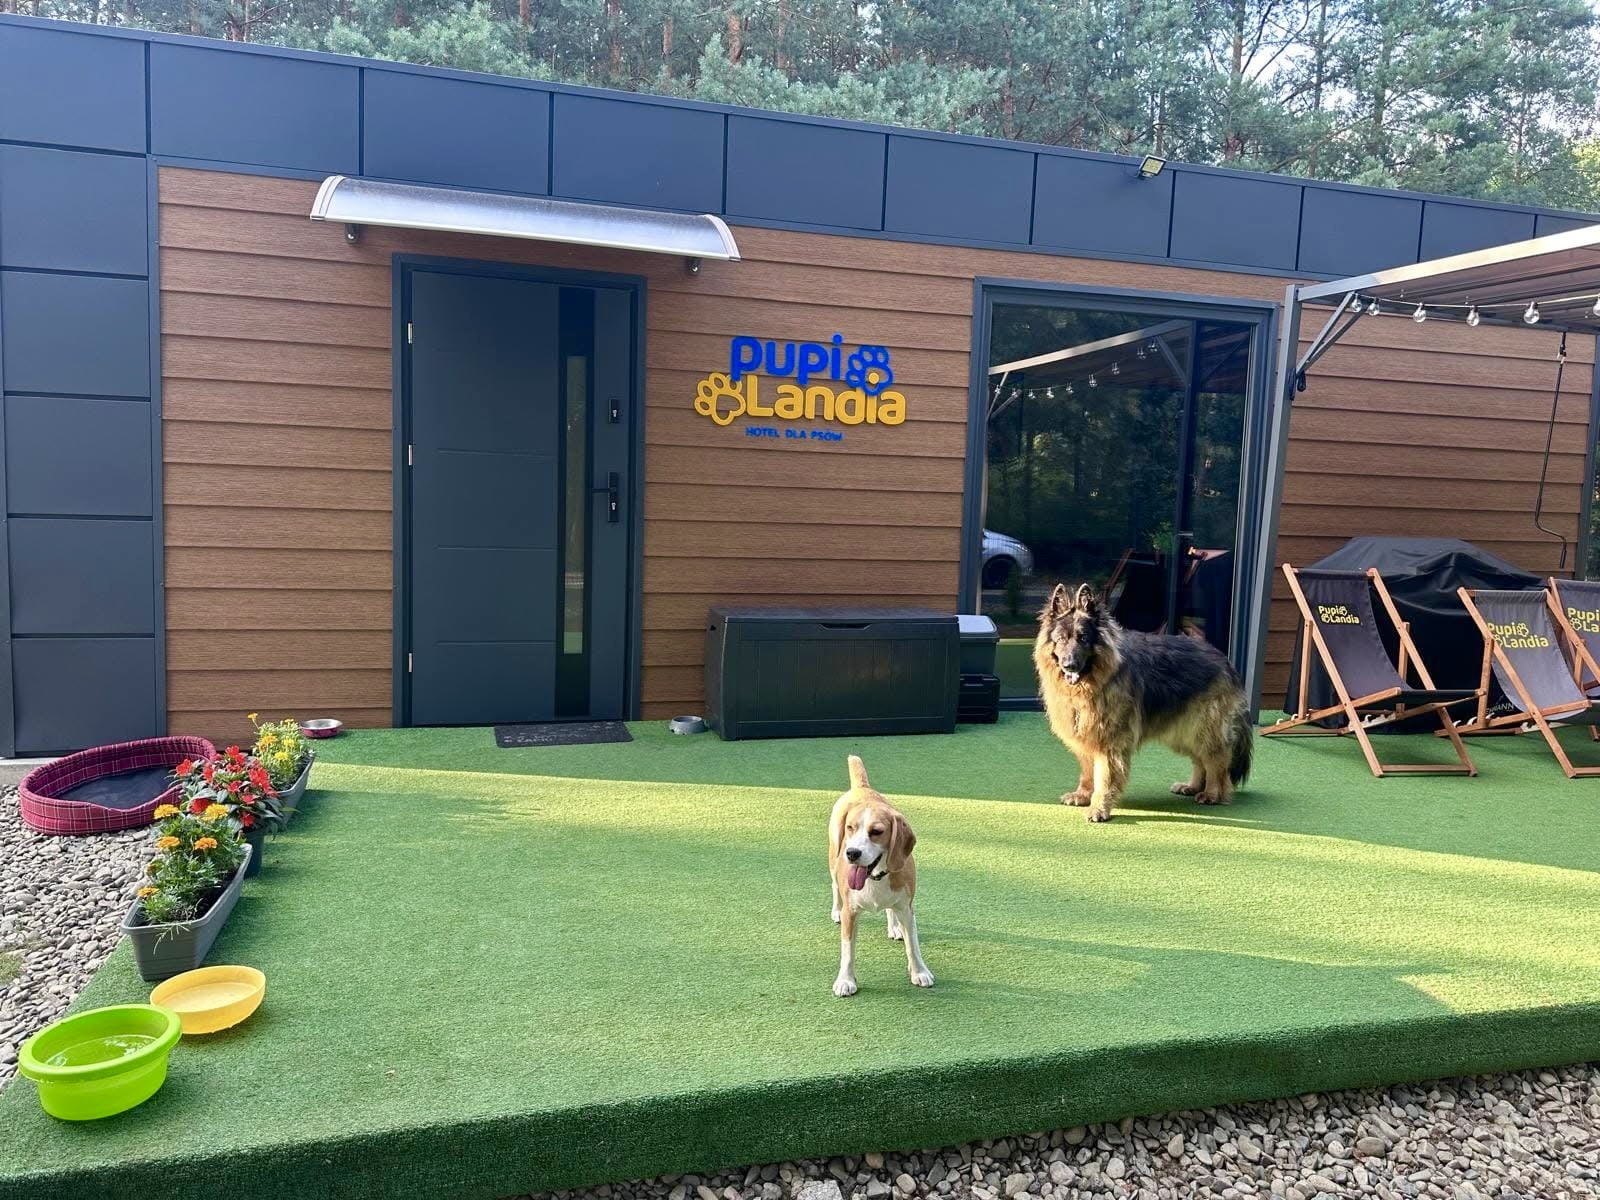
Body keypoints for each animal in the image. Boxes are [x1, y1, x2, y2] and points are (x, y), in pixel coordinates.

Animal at [827, 755, 932, 997]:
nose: (852, 853)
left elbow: (913, 945)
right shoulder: (851, 912)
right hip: (833, 860)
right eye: (850, 828)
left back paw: (894, 926)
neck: (875, 877)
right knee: (834, 887)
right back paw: (835, 910)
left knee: (890, 909)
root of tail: (862, 788)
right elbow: (847, 951)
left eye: (876, 832)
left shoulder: (907, 909)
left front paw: (919, 971)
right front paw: (845, 980)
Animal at [1034, 582, 1252, 822]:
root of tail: (1225, 660)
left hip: (1202, 727)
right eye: (1062, 639)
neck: (1095, 682)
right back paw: (1193, 786)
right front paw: (1083, 795)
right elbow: (1087, 771)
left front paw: (1099, 807)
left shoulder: (1110, 743)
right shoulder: (1087, 736)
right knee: (1199, 759)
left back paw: (1212, 793)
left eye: (1083, 638)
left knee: (1217, 760)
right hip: (1183, 730)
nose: (1070, 665)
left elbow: (1105, 778)